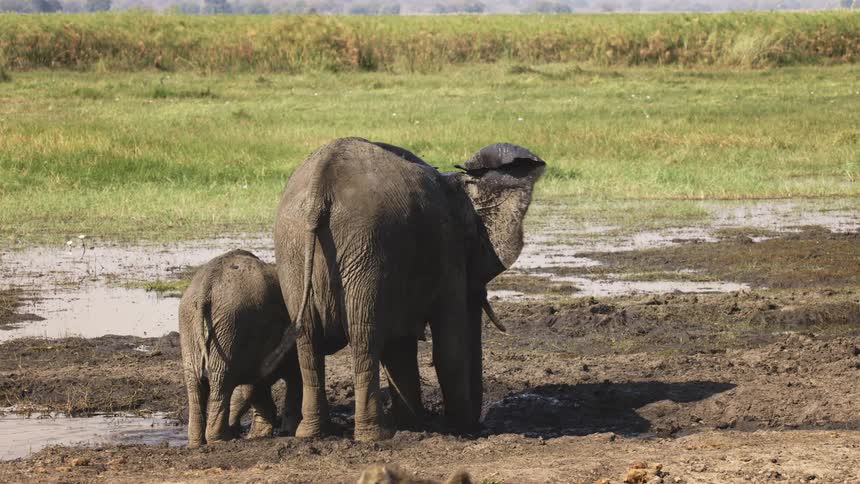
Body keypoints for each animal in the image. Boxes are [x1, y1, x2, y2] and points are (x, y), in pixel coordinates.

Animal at [178, 249, 302, 447]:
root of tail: (207, 286)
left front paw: (258, 434)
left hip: (193, 323)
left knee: (196, 383)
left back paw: (198, 443)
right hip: (232, 323)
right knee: (221, 381)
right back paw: (222, 439)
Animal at [266, 137, 545, 441]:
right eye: (474, 242)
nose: (478, 426)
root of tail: (321, 185)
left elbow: (400, 346)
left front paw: (414, 425)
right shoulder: (449, 254)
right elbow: (450, 348)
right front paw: (457, 429)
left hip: (294, 248)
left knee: (309, 340)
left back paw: (313, 433)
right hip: (365, 245)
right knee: (364, 338)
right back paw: (374, 435)